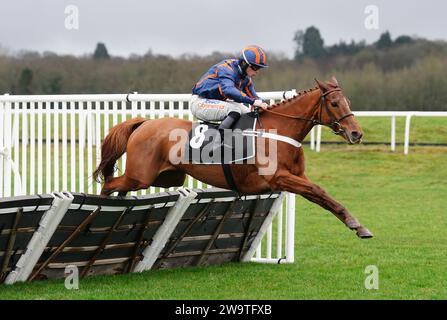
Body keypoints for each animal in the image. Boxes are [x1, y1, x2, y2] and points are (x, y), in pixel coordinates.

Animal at [93, 77, 372, 238]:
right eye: (334, 104)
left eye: (347, 101)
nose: (356, 133)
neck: (279, 130)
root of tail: (144, 123)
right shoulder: (279, 178)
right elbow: (319, 191)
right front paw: (356, 223)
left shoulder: (296, 176)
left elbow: (321, 196)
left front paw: (357, 225)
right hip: (141, 175)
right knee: (110, 183)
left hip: (166, 177)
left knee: (120, 186)